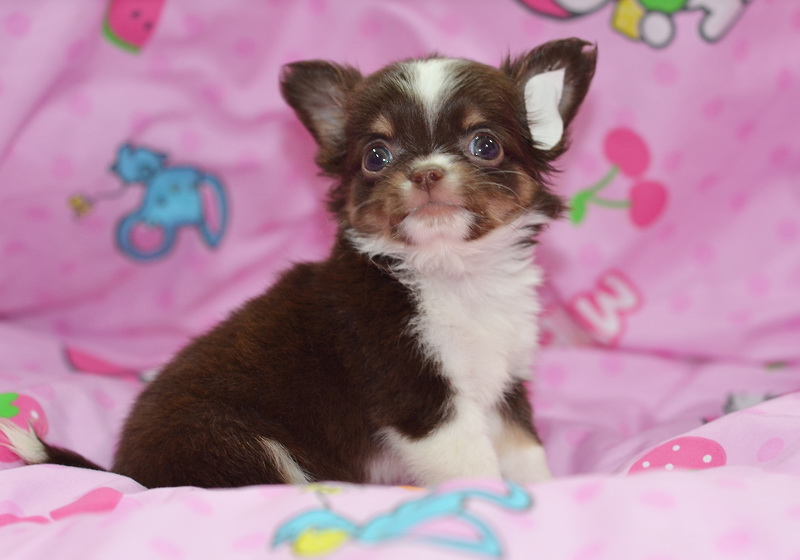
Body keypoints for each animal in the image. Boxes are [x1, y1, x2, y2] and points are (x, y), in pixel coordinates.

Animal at [1, 38, 596, 488]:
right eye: (376, 156)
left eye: (485, 145)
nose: (426, 171)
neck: (453, 272)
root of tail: (127, 474)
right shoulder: (421, 398)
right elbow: (474, 467)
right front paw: (497, 501)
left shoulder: (506, 383)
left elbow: (524, 449)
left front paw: (546, 492)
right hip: (239, 446)